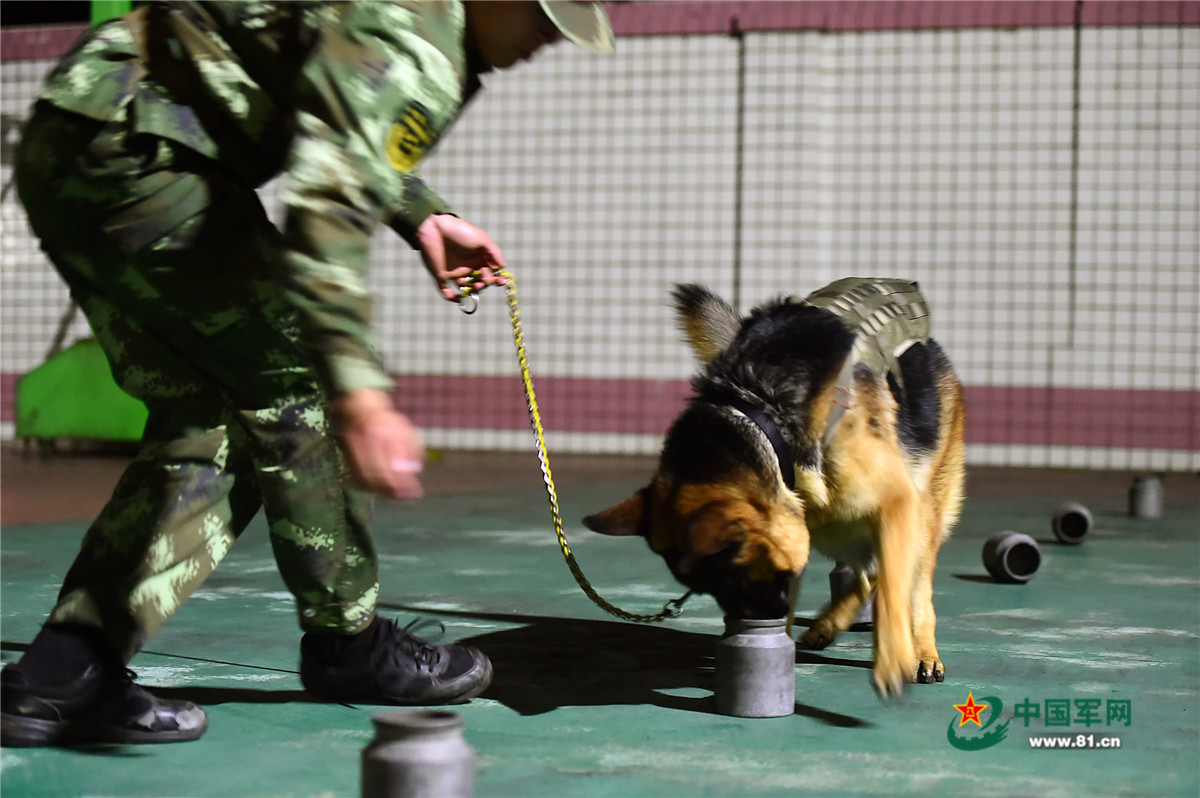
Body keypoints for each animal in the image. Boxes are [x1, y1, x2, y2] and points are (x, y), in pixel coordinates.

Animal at [580, 279, 964, 696]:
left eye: (734, 575)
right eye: (712, 587)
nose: (763, 618)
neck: (761, 408)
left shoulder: (895, 500)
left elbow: (895, 587)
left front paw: (892, 658)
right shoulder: (794, 527)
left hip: (916, 512)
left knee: (910, 580)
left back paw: (922, 652)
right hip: (835, 527)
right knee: (867, 571)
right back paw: (827, 626)